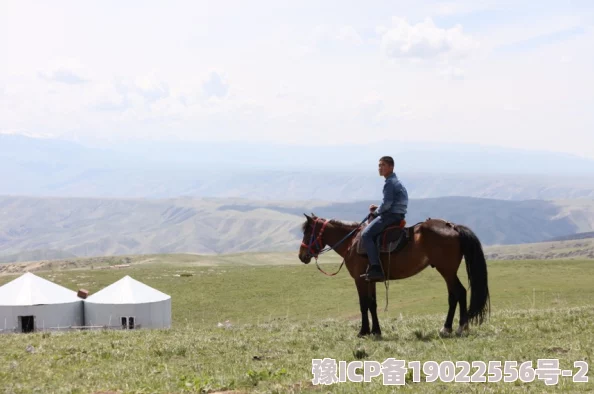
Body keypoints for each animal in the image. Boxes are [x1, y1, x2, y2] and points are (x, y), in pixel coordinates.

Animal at [298, 214, 488, 338]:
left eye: (307, 232)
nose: (302, 256)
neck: (352, 242)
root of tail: (452, 226)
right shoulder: (370, 280)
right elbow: (372, 304)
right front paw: (376, 331)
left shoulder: (359, 280)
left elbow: (363, 304)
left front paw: (363, 331)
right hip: (448, 271)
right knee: (455, 294)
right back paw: (450, 328)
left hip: (446, 270)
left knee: (459, 293)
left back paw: (458, 327)